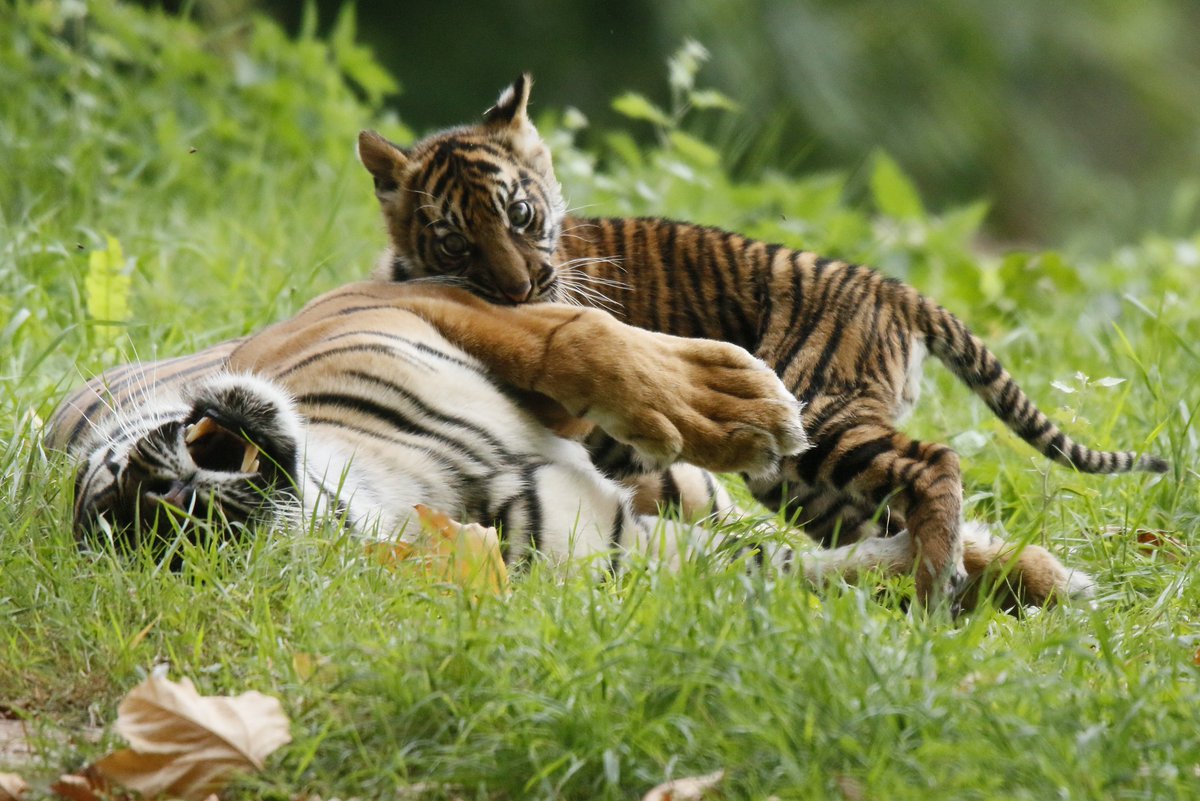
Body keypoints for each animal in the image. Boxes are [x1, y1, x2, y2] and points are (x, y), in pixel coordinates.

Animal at [354, 73, 1168, 607]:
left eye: (519, 214)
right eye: (456, 241)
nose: (522, 287)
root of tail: (891, 289)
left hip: (822, 416)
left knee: (937, 462)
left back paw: (937, 582)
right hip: (808, 480)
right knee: (894, 511)